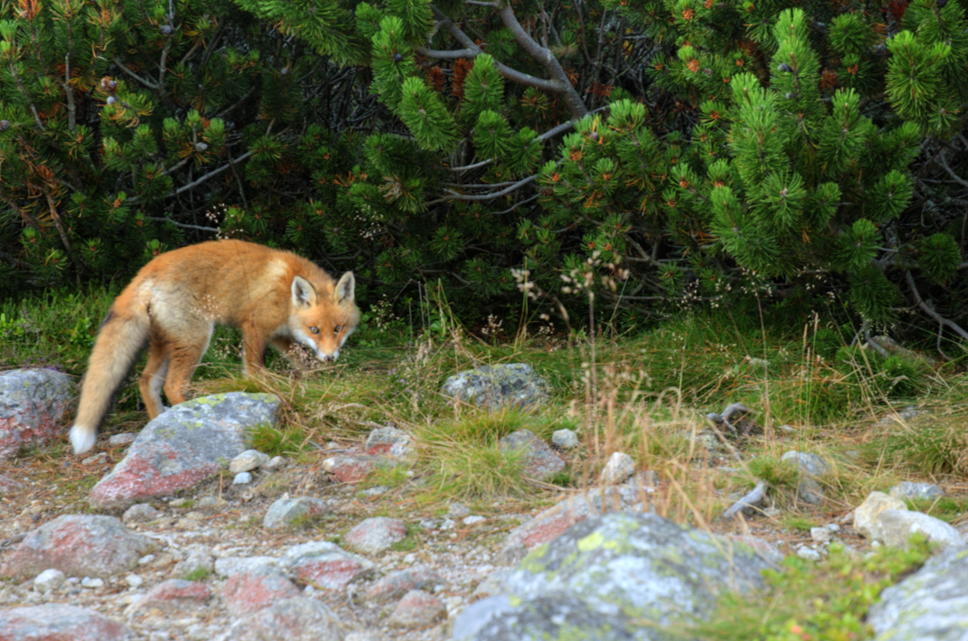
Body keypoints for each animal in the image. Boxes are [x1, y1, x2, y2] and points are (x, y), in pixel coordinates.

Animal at [70, 238, 360, 452]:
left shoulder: (280, 336)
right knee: (172, 385)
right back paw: (188, 413)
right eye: (315, 330)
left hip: (166, 344)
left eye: (338, 329)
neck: (286, 294)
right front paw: (262, 390)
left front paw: (320, 383)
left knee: (146, 381)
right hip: (194, 340)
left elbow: (304, 362)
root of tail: (147, 270)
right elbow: (255, 370)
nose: (330, 358)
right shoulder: (254, 327)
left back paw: (158, 421)